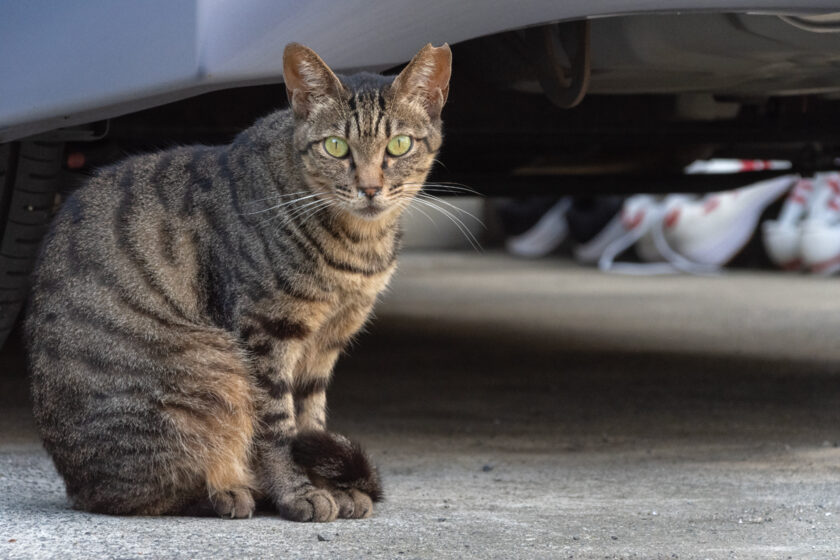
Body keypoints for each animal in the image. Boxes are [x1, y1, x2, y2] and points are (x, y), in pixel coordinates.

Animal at [24, 42, 452, 520]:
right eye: (336, 147)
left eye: (399, 144)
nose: (371, 188)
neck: (358, 245)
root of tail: (78, 488)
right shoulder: (265, 332)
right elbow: (278, 428)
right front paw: (298, 492)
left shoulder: (324, 345)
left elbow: (311, 420)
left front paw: (331, 485)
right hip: (212, 371)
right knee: (159, 490)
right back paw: (229, 491)